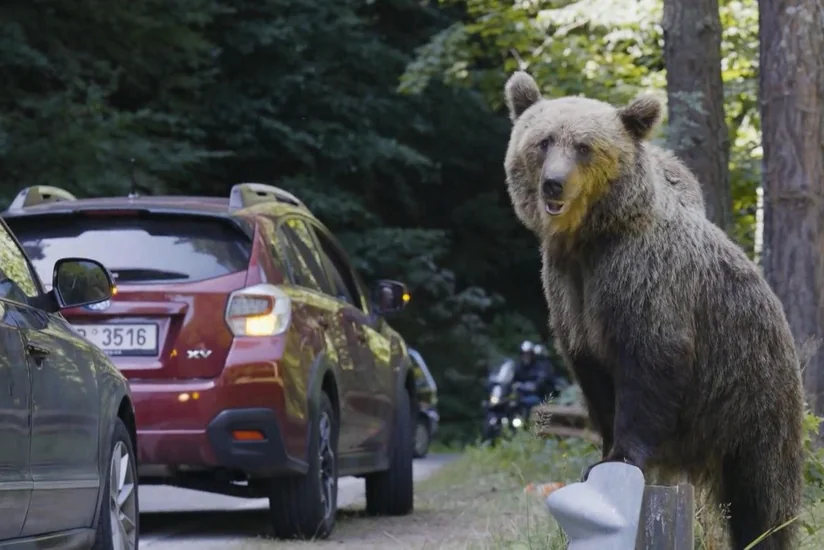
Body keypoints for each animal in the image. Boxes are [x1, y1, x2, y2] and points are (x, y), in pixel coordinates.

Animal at [502, 70, 804, 550]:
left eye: (584, 146)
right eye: (543, 141)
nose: (554, 184)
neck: (590, 238)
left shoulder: (642, 277)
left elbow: (649, 362)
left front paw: (623, 456)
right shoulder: (569, 291)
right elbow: (593, 374)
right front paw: (602, 451)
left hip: (753, 393)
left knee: (762, 492)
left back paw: (762, 532)